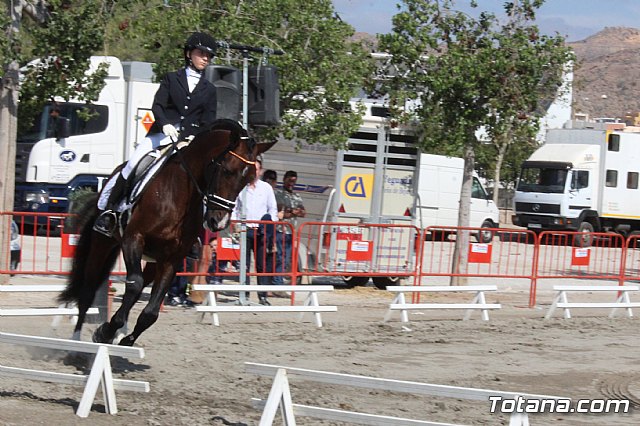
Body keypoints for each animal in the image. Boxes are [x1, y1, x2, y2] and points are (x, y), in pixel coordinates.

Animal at [59, 119, 274, 346]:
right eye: (226, 170)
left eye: (248, 179)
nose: (218, 222)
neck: (180, 195)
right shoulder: (133, 239)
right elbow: (134, 284)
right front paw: (106, 332)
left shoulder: (172, 259)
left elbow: (151, 312)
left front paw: (124, 339)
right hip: (102, 243)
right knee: (88, 290)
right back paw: (75, 341)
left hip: (154, 260)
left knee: (138, 285)